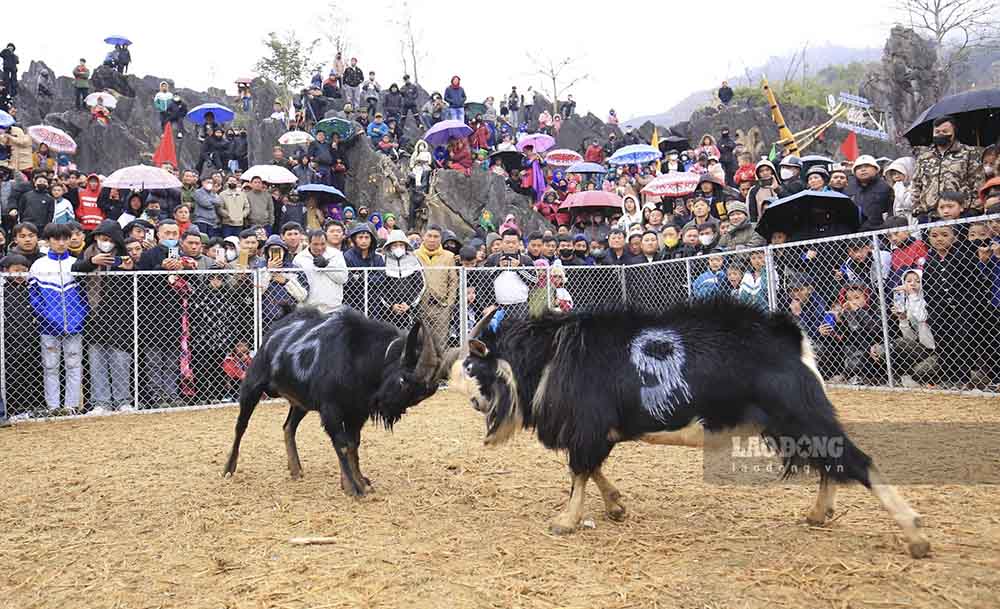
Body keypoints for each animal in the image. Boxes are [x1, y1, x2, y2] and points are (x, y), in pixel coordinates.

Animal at [226, 304, 454, 494]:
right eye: (403, 380)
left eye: (420, 394)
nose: (390, 408)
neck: (358, 357)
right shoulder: (331, 410)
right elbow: (342, 444)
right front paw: (354, 487)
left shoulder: (357, 412)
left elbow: (353, 445)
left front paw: (358, 480)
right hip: (252, 386)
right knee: (241, 426)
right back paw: (229, 467)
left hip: (301, 403)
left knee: (288, 427)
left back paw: (296, 468)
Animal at [450, 296, 932, 560]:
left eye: (476, 367)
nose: (474, 402)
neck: (551, 356)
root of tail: (790, 340)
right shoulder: (600, 432)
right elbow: (595, 470)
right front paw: (617, 506)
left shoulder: (587, 427)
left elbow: (579, 473)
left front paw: (565, 521)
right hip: (788, 423)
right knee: (829, 460)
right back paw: (818, 514)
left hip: (799, 412)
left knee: (856, 460)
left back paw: (914, 534)